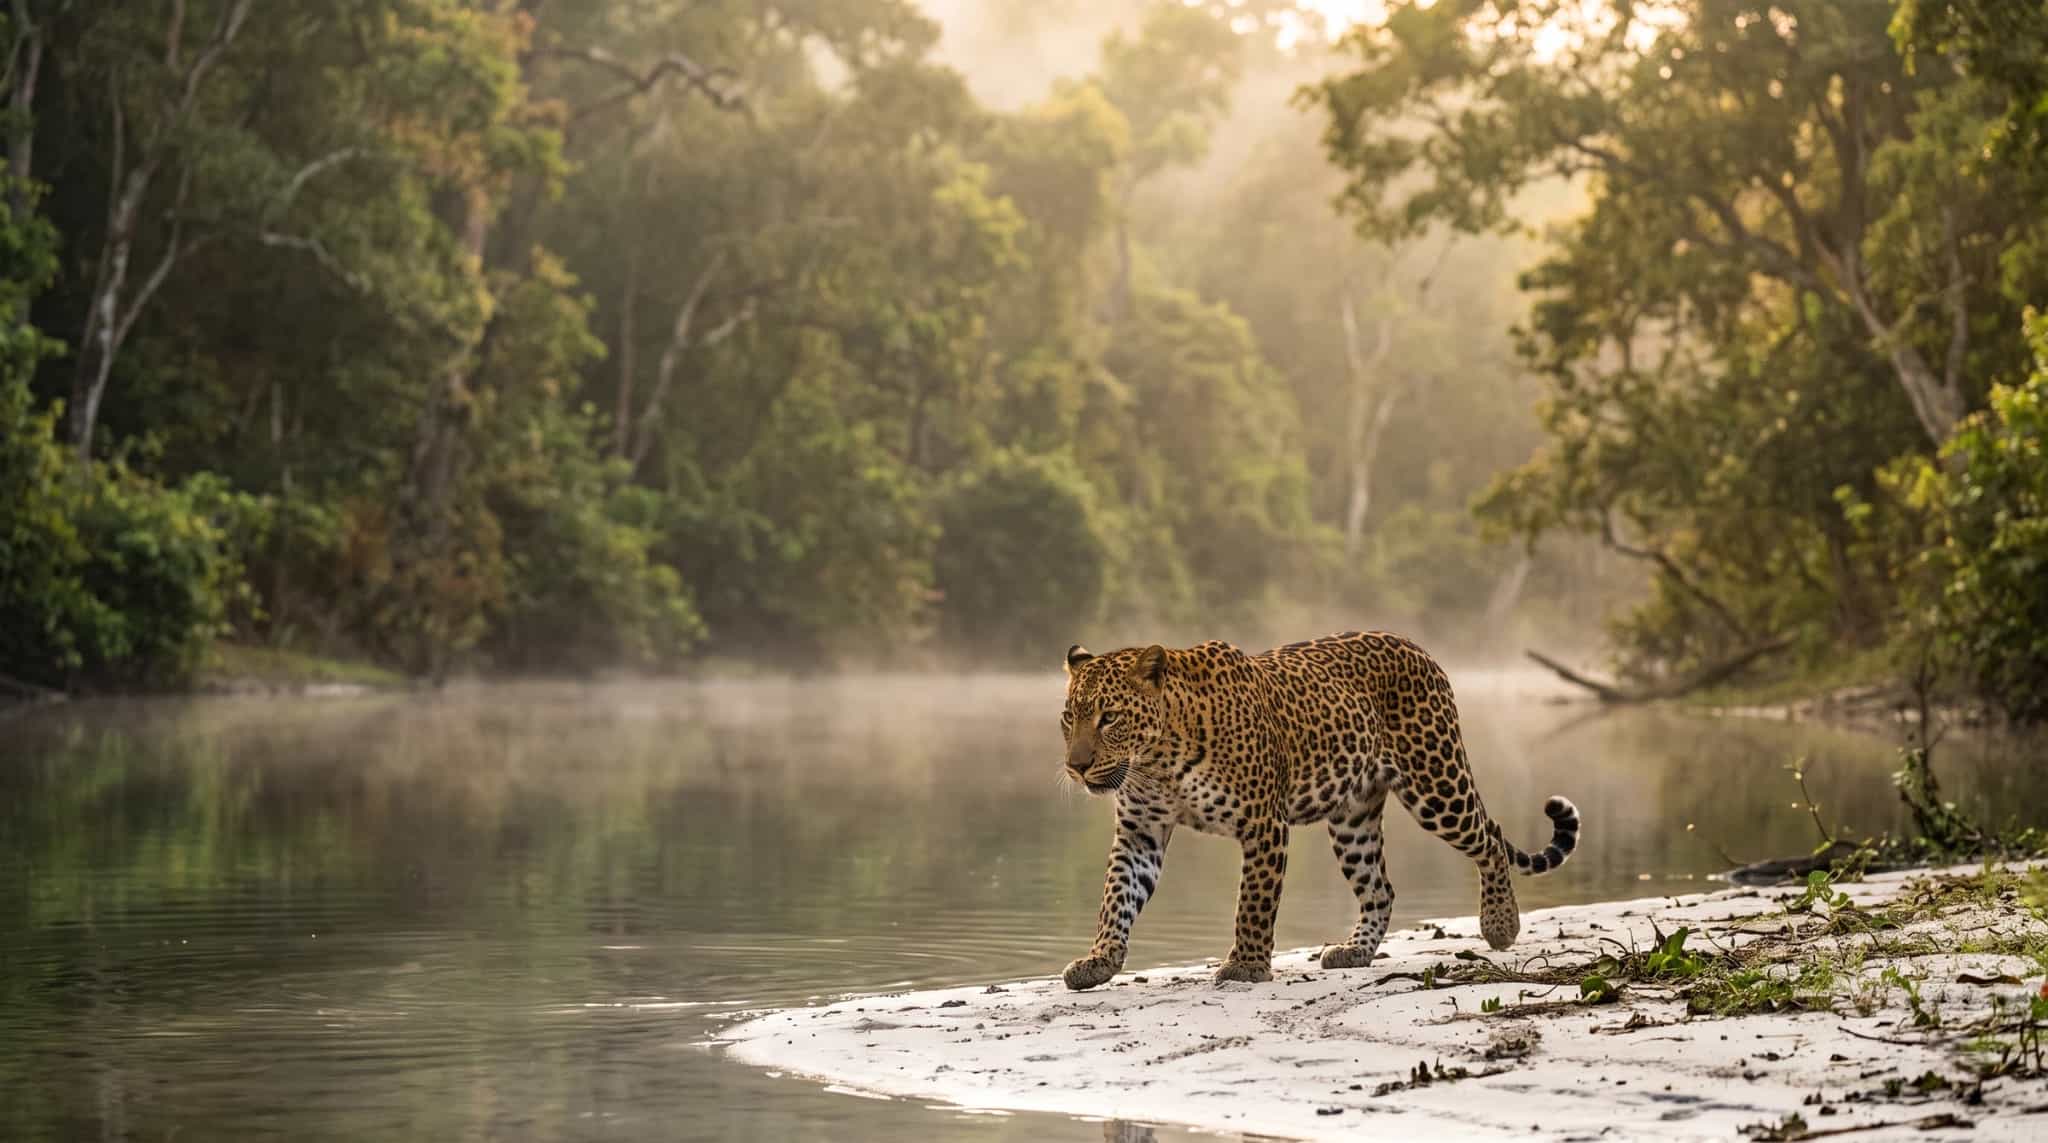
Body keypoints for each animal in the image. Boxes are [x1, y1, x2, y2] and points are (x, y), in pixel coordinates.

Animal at [1056, 631, 1580, 991]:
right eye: (1069, 717)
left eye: (1109, 718)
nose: (1075, 767)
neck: (1158, 760)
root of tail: (1417, 647)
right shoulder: (1140, 831)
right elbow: (1116, 898)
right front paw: (1099, 961)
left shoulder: (1264, 824)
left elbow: (1253, 902)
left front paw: (1246, 966)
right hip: (1353, 820)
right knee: (1381, 888)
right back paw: (1354, 951)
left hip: (1437, 784)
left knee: (1489, 838)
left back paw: (1500, 925)